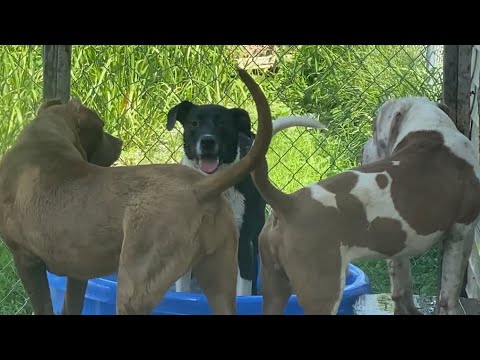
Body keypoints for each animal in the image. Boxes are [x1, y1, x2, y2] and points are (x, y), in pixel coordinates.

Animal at [0, 68, 272, 316]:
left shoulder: (25, 260)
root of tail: (200, 188)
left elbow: (43, 306)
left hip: (136, 284)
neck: (44, 141)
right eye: (101, 127)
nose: (119, 142)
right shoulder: (78, 269)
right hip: (221, 274)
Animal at [251, 96, 480, 316]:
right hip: (323, 290)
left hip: (273, 286)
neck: (432, 129)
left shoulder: (399, 245)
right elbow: (449, 293)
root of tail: (288, 203)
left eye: (373, 130)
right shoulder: (461, 232)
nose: (364, 147)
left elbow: (402, 284)